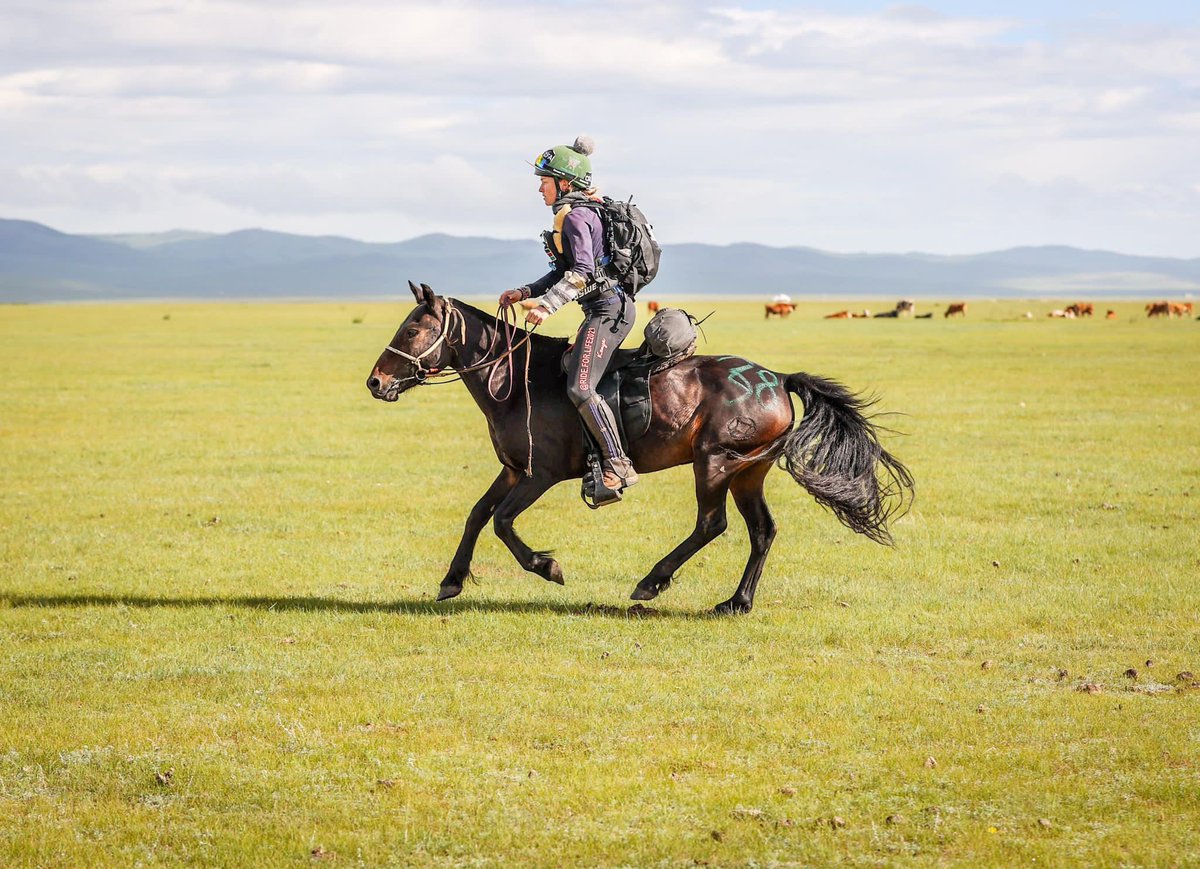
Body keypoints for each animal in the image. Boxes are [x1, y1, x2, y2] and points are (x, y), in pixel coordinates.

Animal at [362, 282, 907, 614]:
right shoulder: (515, 471)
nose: (375, 382)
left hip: (715, 464)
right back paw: (736, 602)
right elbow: (477, 515)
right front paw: (452, 579)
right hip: (748, 474)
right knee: (762, 531)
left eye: (412, 329)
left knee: (712, 524)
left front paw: (547, 567)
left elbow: (502, 522)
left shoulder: (540, 475)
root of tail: (776, 378)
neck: (515, 381)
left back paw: (652, 581)